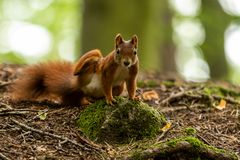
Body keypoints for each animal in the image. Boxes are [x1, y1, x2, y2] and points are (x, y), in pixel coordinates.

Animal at [11, 34, 139, 105]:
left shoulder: (133, 73)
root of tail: (78, 85)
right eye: (118, 51)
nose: (126, 62)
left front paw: (133, 97)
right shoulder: (107, 70)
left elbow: (131, 86)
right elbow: (107, 85)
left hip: (118, 88)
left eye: (134, 52)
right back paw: (86, 100)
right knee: (80, 73)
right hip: (90, 63)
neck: (122, 67)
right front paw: (110, 99)